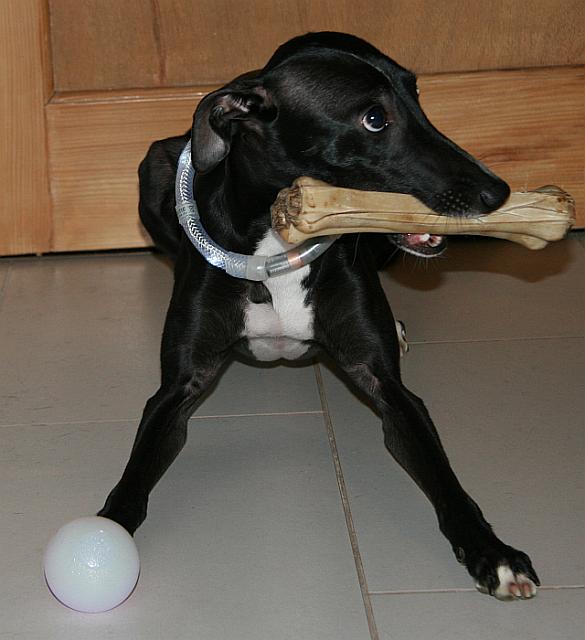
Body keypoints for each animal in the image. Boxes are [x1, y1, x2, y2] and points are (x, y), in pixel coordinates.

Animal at [99, 32, 539, 601]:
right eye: (374, 118)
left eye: (418, 96)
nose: (497, 194)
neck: (279, 248)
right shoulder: (176, 389)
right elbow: (133, 478)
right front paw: (101, 538)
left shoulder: (390, 389)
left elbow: (445, 478)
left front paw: (493, 551)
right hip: (153, 166)